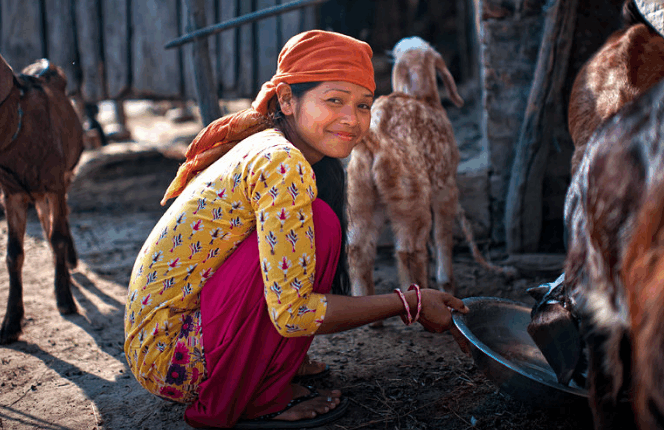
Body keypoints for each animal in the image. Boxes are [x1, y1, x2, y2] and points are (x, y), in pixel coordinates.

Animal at [0, 55, 84, 344]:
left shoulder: (55, 184)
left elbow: (58, 237)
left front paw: (65, 300)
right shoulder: (12, 194)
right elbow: (13, 253)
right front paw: (11, 323)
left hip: (62, 178)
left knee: (62, 221)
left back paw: (69, 263)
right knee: (47, 222)